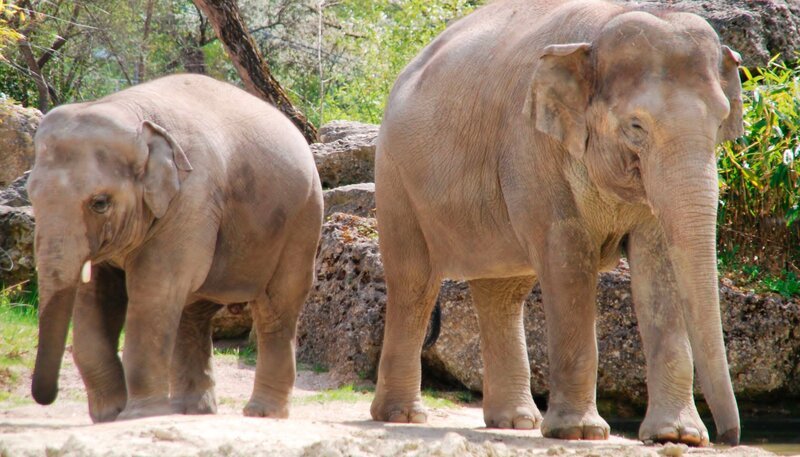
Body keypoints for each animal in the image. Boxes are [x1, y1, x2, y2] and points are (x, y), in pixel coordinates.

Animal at [28, 74, 323, 422]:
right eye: (30, 196)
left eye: (100, 203)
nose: (46, 397)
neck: (131, 113)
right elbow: (95, 298)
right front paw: (110, 415)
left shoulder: (192, 198)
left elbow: (154, 290)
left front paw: (136, 416)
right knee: (191, 312)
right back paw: (191, 412)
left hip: (302, 220)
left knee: (275, 308)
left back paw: (261, 415)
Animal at [370, 0, 743, 447]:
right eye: (635, 126)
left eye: (721, 122)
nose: (728, 437)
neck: (598, 33)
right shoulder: (532, 149)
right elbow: (567, 258)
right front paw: (581, 433)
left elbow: (661, 266)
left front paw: (678, 437)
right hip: (395, 178)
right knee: (415, 285)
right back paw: (402, 416)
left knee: (502, 292)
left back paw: (515, 423)